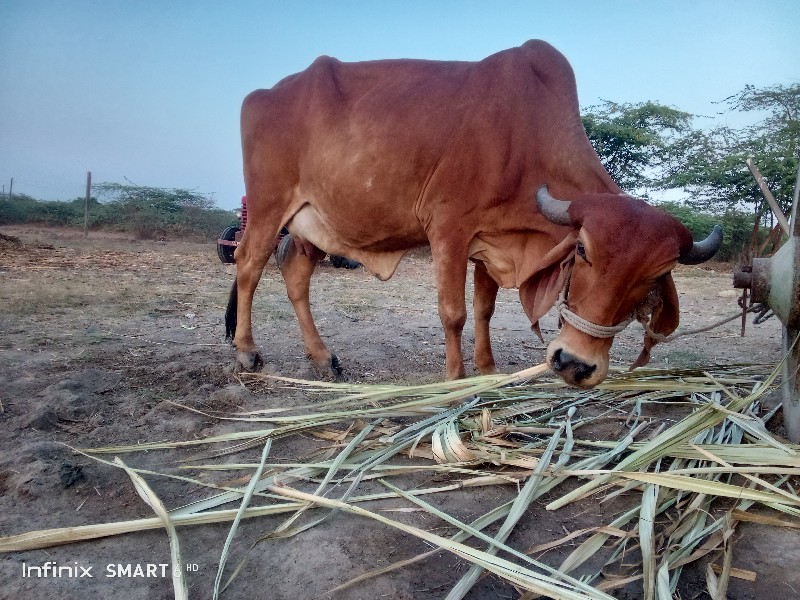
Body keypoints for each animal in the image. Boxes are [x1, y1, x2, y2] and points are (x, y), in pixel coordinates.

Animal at [227, 41, 724, 390]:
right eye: (582, 250)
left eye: (652, 278)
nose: (575, 364)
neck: (525, 139)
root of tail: (261, 95)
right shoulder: (448, 229)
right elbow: (454, 313)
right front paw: (456, 377)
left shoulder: (492, 243)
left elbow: (484, 310)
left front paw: (486, 370)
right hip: (270, 206)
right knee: (249, 265)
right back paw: (247, 352)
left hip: (313, 224)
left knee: (295, 274)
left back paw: (322, 357)